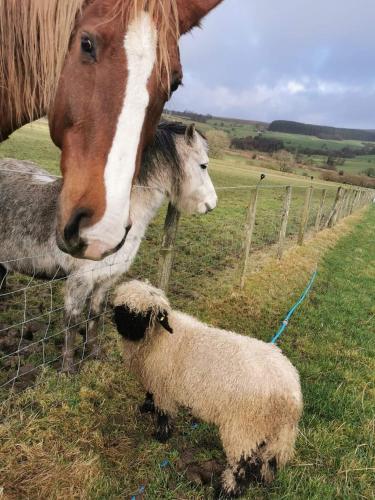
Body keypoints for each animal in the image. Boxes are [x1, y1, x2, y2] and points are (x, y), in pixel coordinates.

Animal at [113, 280, 304, 498]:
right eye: (121, 310)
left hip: (244, 428)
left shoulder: (163, 387)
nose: (124, 330)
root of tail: (292, 397)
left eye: (142, 315)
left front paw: (160, 436)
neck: (157, 338)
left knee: (242, 465)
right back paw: (264, 479)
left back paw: (227, 492)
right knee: (268, 459)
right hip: (270, 431)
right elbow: (150, 395)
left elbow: (163, 414)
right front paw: (146, 407)